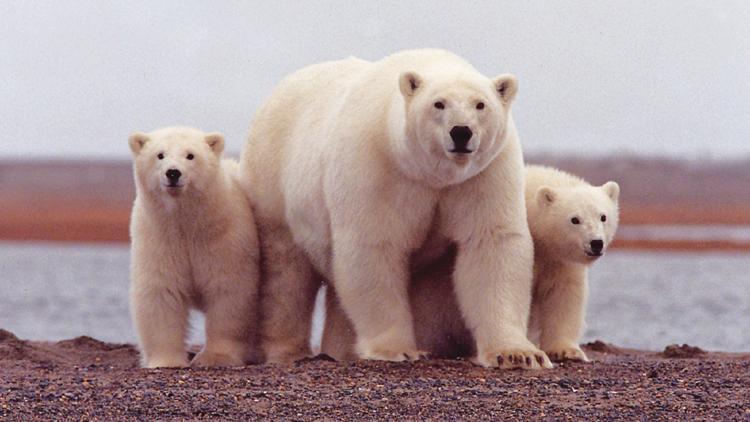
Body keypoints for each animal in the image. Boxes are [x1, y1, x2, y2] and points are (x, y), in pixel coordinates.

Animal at [132, 125, 264, 366]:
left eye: (190, 155)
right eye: (160, 154)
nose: (173, 173)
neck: (186, 223)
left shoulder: (224, 239)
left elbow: (228, 292)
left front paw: (215, 358)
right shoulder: (159, 238)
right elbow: (161, 292)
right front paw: (167, 361)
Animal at [241, 47, 552, 368]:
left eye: (480, 104)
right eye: (438, 104)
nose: (461, 132)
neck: (430, 174)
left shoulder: (483, 174)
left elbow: (491, 243)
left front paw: (518, 354)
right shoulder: (378, 167)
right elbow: (374, 247)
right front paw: (397, 349)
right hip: (274, 183)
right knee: (286, 274)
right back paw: (288, 351)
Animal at [320, 165, 620, 362]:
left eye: (603, 216)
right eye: (574, 219)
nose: (595, 243)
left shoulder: (558, 260)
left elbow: (563, 295)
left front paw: (566, 350)